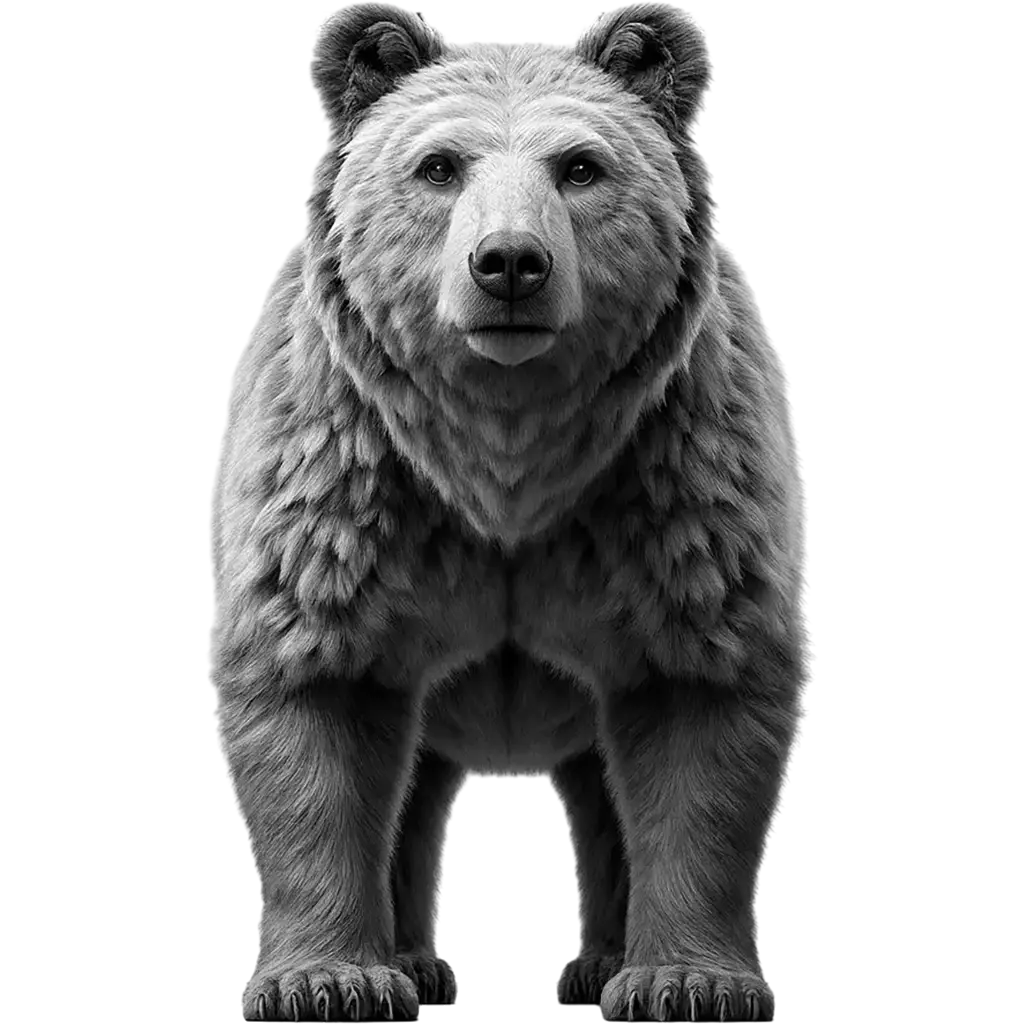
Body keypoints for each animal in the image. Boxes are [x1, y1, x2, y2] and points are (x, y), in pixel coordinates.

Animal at [207, 2, 812, 1021]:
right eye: (439, 165)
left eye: (580, 166)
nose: (510, 265)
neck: (503, 469)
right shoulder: (350, 493)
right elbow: (310, 696)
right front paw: (328, 981)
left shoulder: (669, 495)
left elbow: (703, 707)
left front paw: (687, 981)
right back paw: (415, 961)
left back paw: (601, 962)